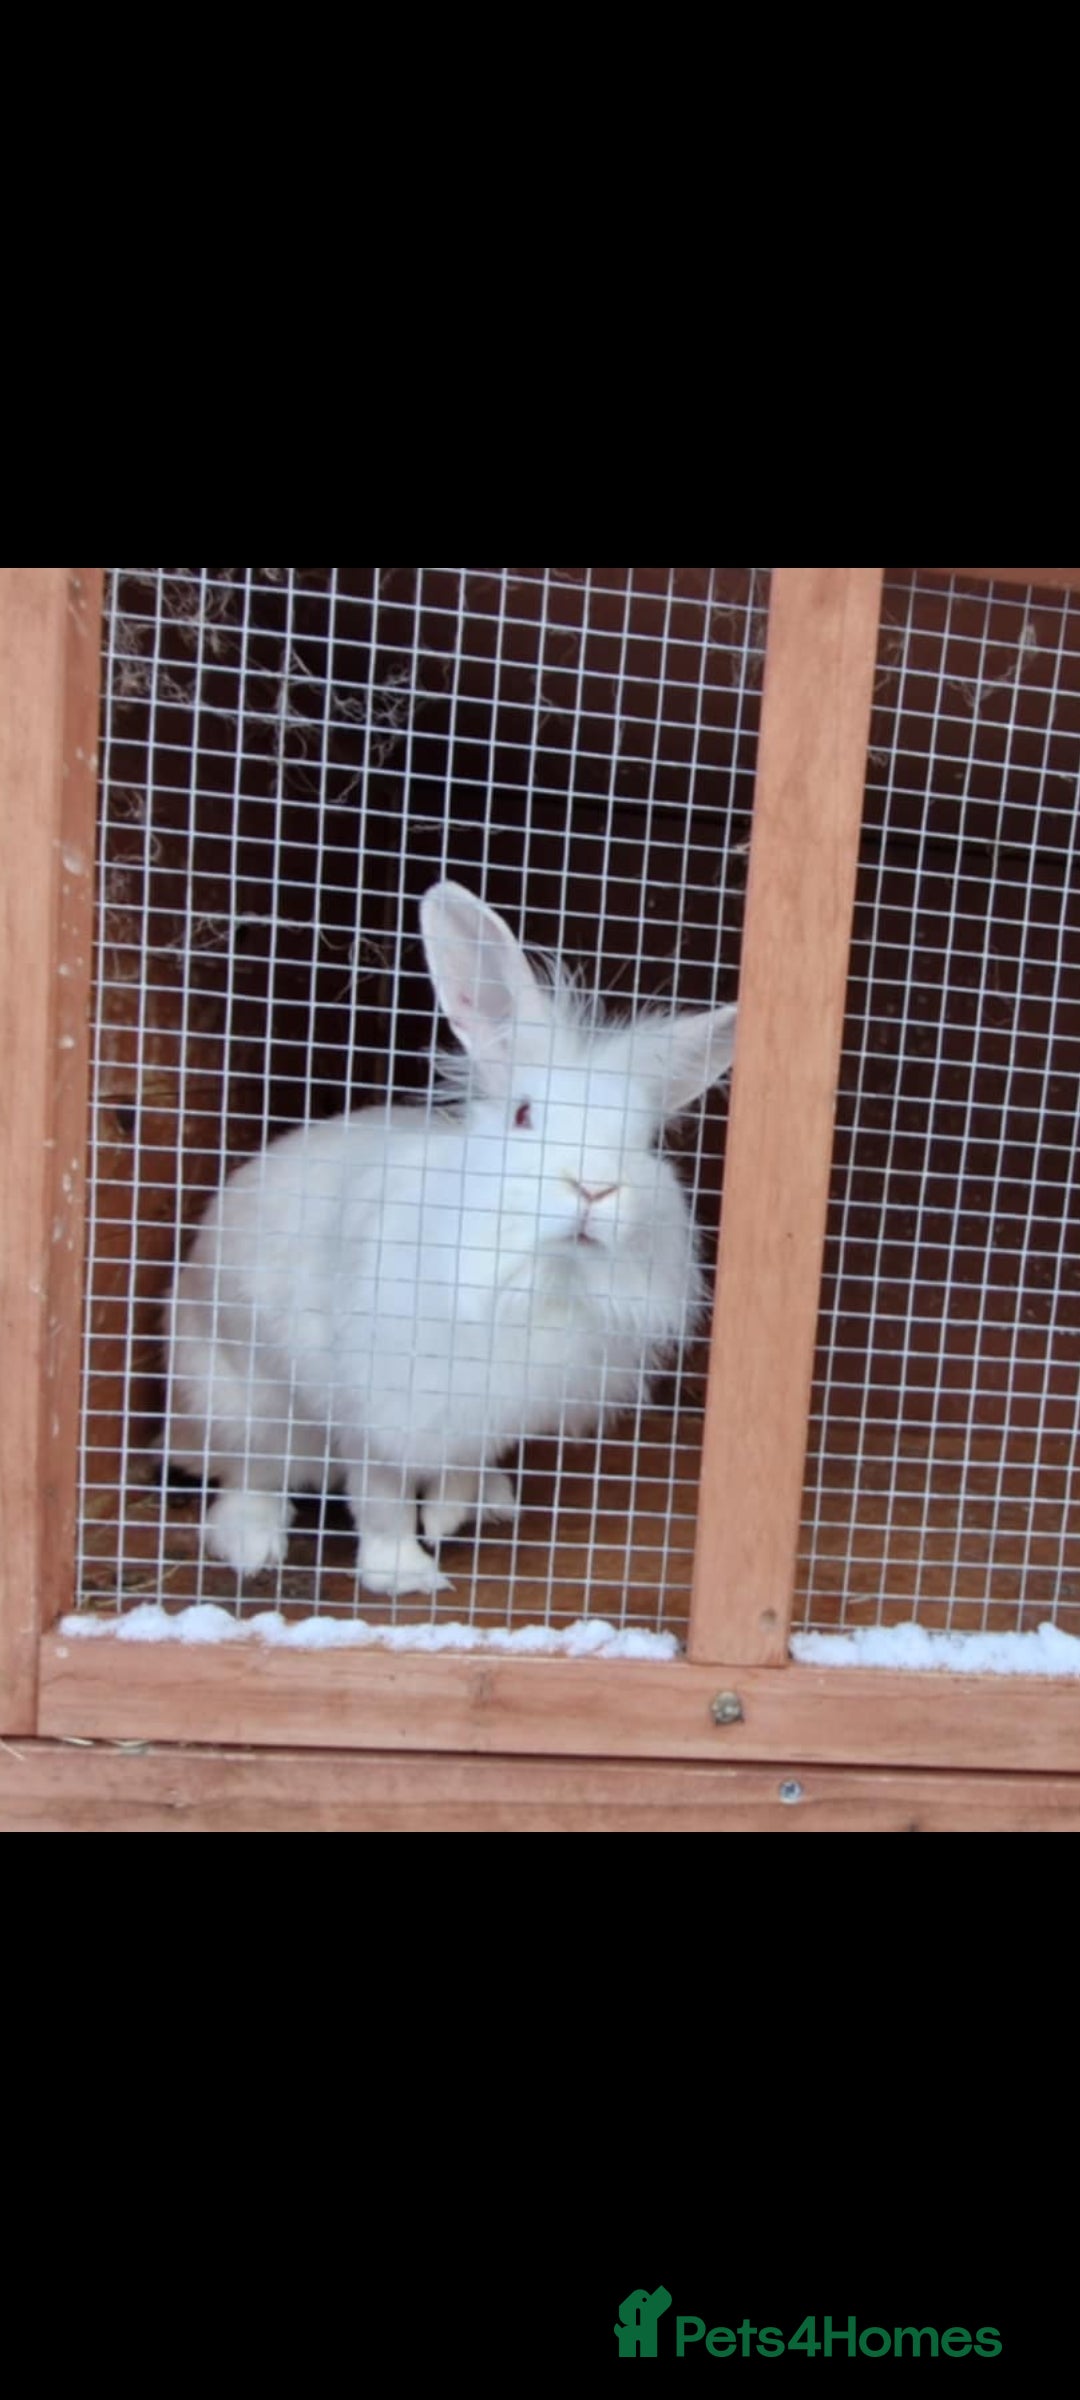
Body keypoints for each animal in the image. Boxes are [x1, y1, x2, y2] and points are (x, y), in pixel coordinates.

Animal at [161, 881, 737, 1597]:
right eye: (524, 1115)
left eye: (645, 1139)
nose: (594, 1188)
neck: (531, 1276)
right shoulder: (381, 1407)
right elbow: (380, 1498)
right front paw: (404, 1574)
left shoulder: (484, 1412)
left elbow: (459, 1468)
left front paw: (449, 1516)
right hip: (241, 1399)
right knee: (250, 1474)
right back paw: (252, 1545)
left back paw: (492, 1501)